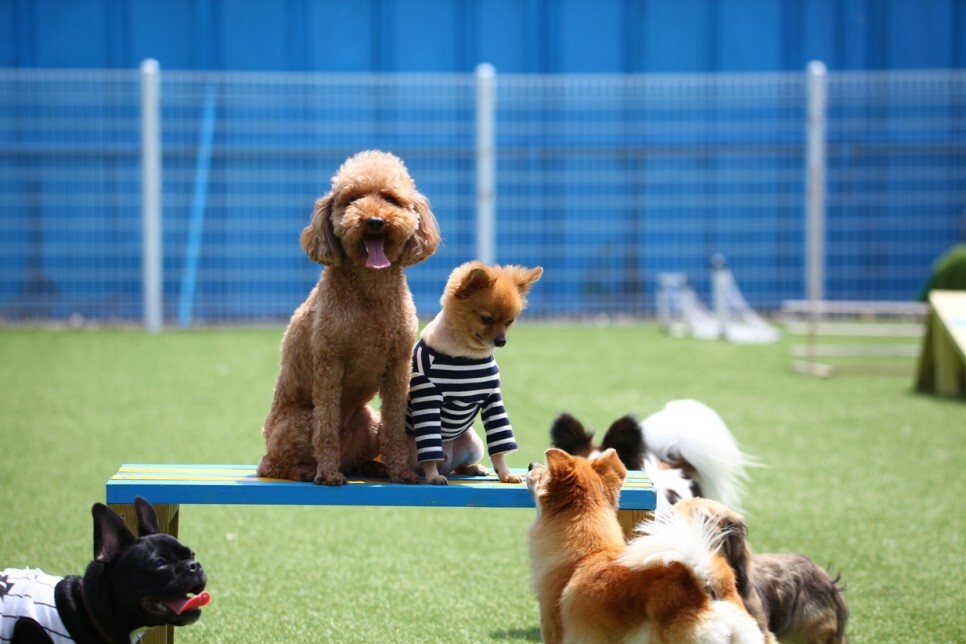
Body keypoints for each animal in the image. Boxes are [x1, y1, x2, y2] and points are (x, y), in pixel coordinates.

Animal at [257, 150, 440, 485]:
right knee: (272, 464)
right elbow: (327, 428)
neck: (370, 290)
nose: (375, 222)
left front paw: (401, 472)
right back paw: (308, 470)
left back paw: (371, 467)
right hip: (299, 423)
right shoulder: (330, 361)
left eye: (391, 198)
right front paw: (328, 474)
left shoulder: (398, 364)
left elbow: (395, 426)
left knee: (359, 454)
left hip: (369, 422)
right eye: (352, 198)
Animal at [406, 261, 542, 484]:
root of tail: (446, 461)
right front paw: (433, 475)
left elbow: (499, 448)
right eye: (486, 319)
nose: (501, 341)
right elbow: (429, 449)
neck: (467, 356)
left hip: (474, 443)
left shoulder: (492, 399)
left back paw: (474, 468)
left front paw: (505, 473)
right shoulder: (428, 397)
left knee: (456, 468)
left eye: (509, 322)